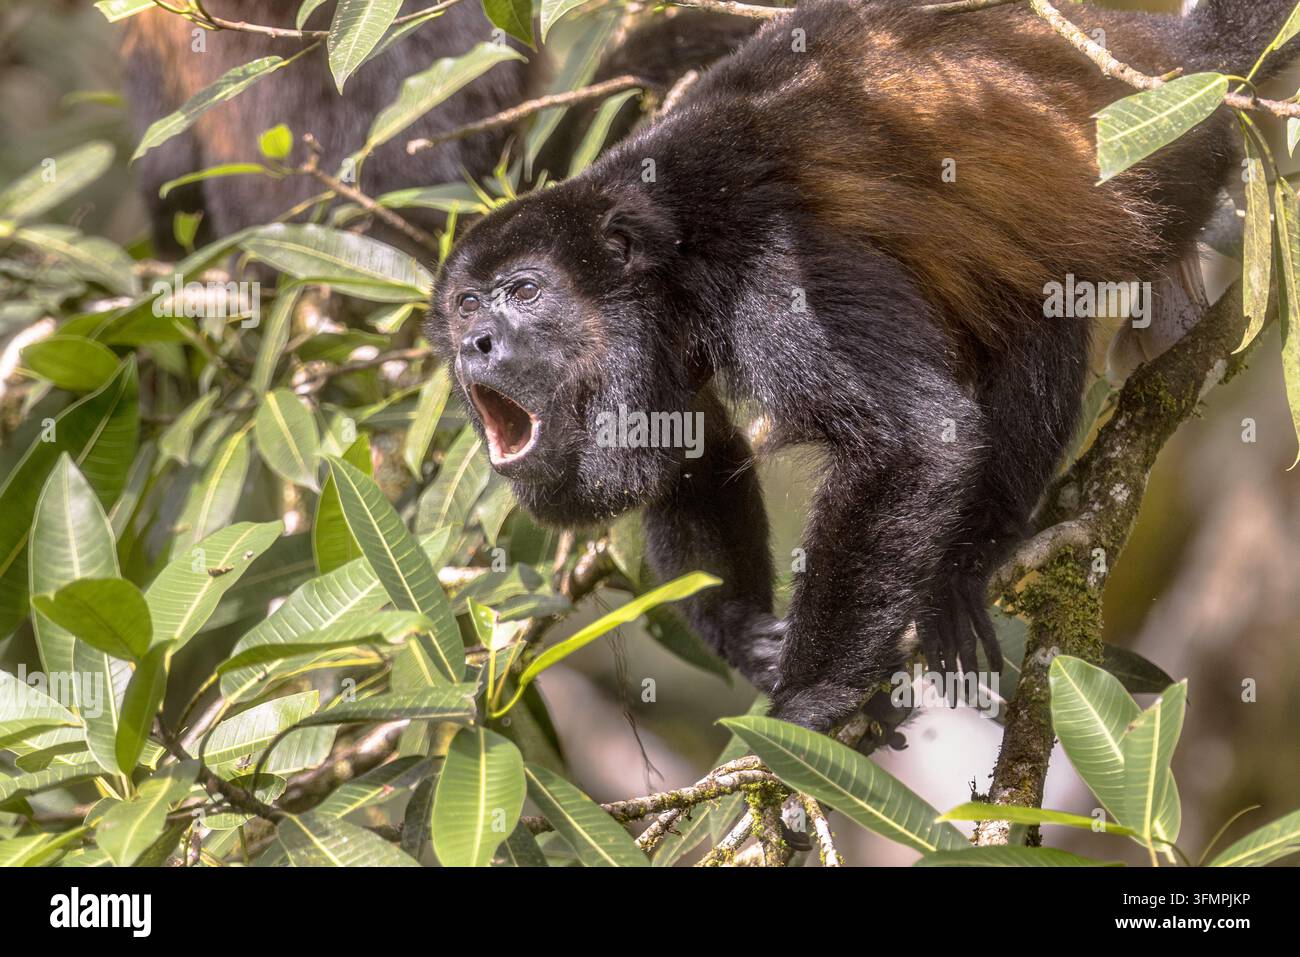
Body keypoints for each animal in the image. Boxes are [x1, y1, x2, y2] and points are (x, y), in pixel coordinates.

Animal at [426, 0, 1300, 732]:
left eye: (524, 291)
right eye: (465, 304)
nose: (474, 343)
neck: (665, 243)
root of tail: (1177, 60)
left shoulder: (773, 264)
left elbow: (914, 438)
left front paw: (808, 705)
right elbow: (690, 449)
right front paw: (750, 636)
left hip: (1164, 177)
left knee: (1038, 306)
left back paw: (963, 565)